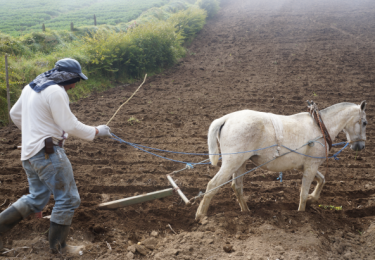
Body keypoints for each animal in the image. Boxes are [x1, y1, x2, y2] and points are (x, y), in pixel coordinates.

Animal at [195, 101, 368, 221]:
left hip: (240, 164)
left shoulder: (303, 166)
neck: (320, 128)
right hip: (231, 163)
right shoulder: (311, 166)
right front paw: (302, 213)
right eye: (365, 122)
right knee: (212, 185)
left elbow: (322, 180)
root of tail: (226, 118)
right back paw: (200, 215)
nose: (360, 146)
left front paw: (313, 198)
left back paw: (246, 212)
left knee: (237, 187)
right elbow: (303, 193)